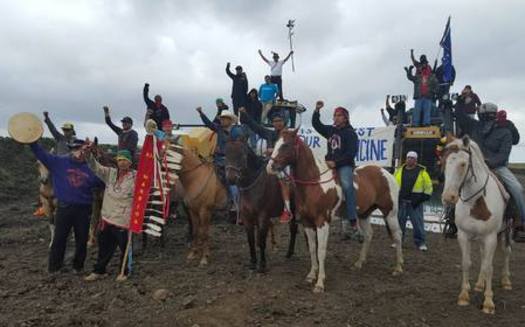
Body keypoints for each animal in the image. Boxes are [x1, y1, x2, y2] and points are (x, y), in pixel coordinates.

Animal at [224, 137, 298, 272]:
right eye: (226, 154)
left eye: (242, 155)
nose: (231, 178)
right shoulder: (247, 218)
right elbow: (251, 241)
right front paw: (253, 262)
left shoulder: (263, 217)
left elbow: (262, 241)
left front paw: (262, 264)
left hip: (294, 210)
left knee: (293, 228)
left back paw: (290, 252)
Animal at [264, 129, 404, 294]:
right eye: (276, 143)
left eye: (286, 145)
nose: (270, 167)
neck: (315, 182)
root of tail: (386, 173)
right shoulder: (307, 223)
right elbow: (312, 249)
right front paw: (311, 275)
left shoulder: (322, 222)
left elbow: (321, 250)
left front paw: (320, 283)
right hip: (364, 214)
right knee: (369, 235)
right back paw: (359, 263)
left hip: (390, 213)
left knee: (397, 235)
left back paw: (398, 268)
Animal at [440, 135, 510, 316]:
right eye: (444, 162)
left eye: (463, 164)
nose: (448, 197)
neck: (476, 203)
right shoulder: (463, 235)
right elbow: (467, 262)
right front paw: (464, 296)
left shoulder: (491, 237)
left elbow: (489, 266)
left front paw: (488, 303)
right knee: (483, 255)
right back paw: (479, 284)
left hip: (506, 232)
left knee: (506, 252)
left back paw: (506, 281)